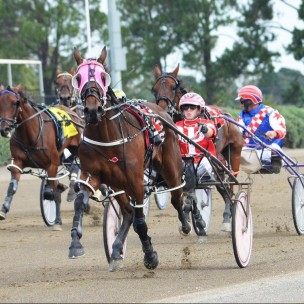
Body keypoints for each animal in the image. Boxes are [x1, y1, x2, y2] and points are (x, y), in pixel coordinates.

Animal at [0, 84, 83, 229]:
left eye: (15, 103)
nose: (4, 129)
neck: (30, 133)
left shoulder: (52, 164)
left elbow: (53, 193)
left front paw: (56, 222)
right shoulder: (18, 162)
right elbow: (12, 187)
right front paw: (3, 209)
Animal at [68, 45, 191, 270]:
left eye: (103, 77)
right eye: (78, 78)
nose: (92, 110)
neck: (108, 135)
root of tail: (161, 112)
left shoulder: (135, 179)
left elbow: (141, 221)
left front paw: (150, 255)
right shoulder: (92, 173)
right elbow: (80, 201)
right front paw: (75, 244)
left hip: (170, 168)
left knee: (176, 197)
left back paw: (186, 225)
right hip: (117, 182)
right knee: (126, 211)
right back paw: (116, 249)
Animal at [151, 64, 243, 230]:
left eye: (173, 87)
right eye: (154, 89)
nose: (162, 111)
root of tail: (227, 116)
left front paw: (197, 218)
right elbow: (187, 188)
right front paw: (191, 215)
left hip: (232, 155)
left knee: (229, 185)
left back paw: (228, 217)